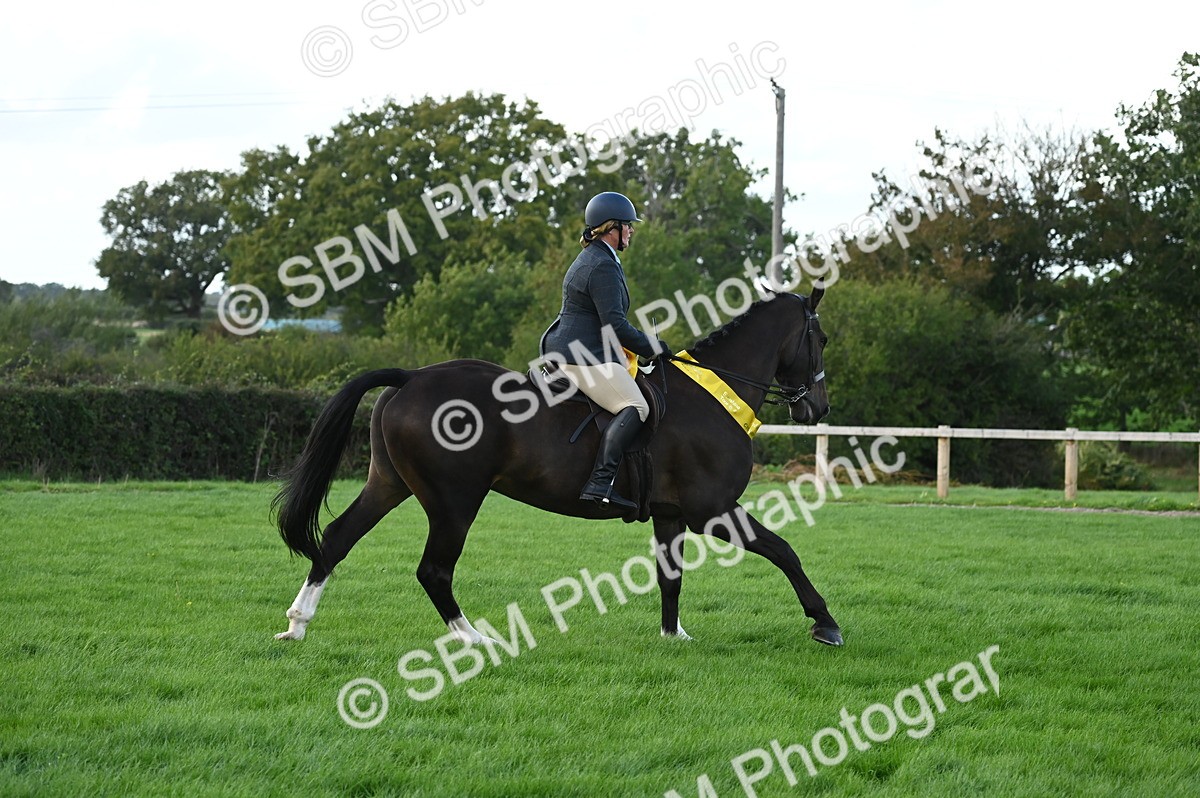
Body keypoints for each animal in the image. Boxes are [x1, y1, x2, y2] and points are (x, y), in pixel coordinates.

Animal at [273, 287, 843, 647]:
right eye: (821, 340)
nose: (817, 409)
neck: (716, 394)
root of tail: (411, 377)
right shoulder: (714, 510)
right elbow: (785, 552)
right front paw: (825, 623)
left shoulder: (671, 514)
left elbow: (671, 577)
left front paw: (673, 636)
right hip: (454, 500)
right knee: (434, 569)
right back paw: (474, 638)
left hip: (390, 483)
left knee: (337, 538)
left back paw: (298, 624)